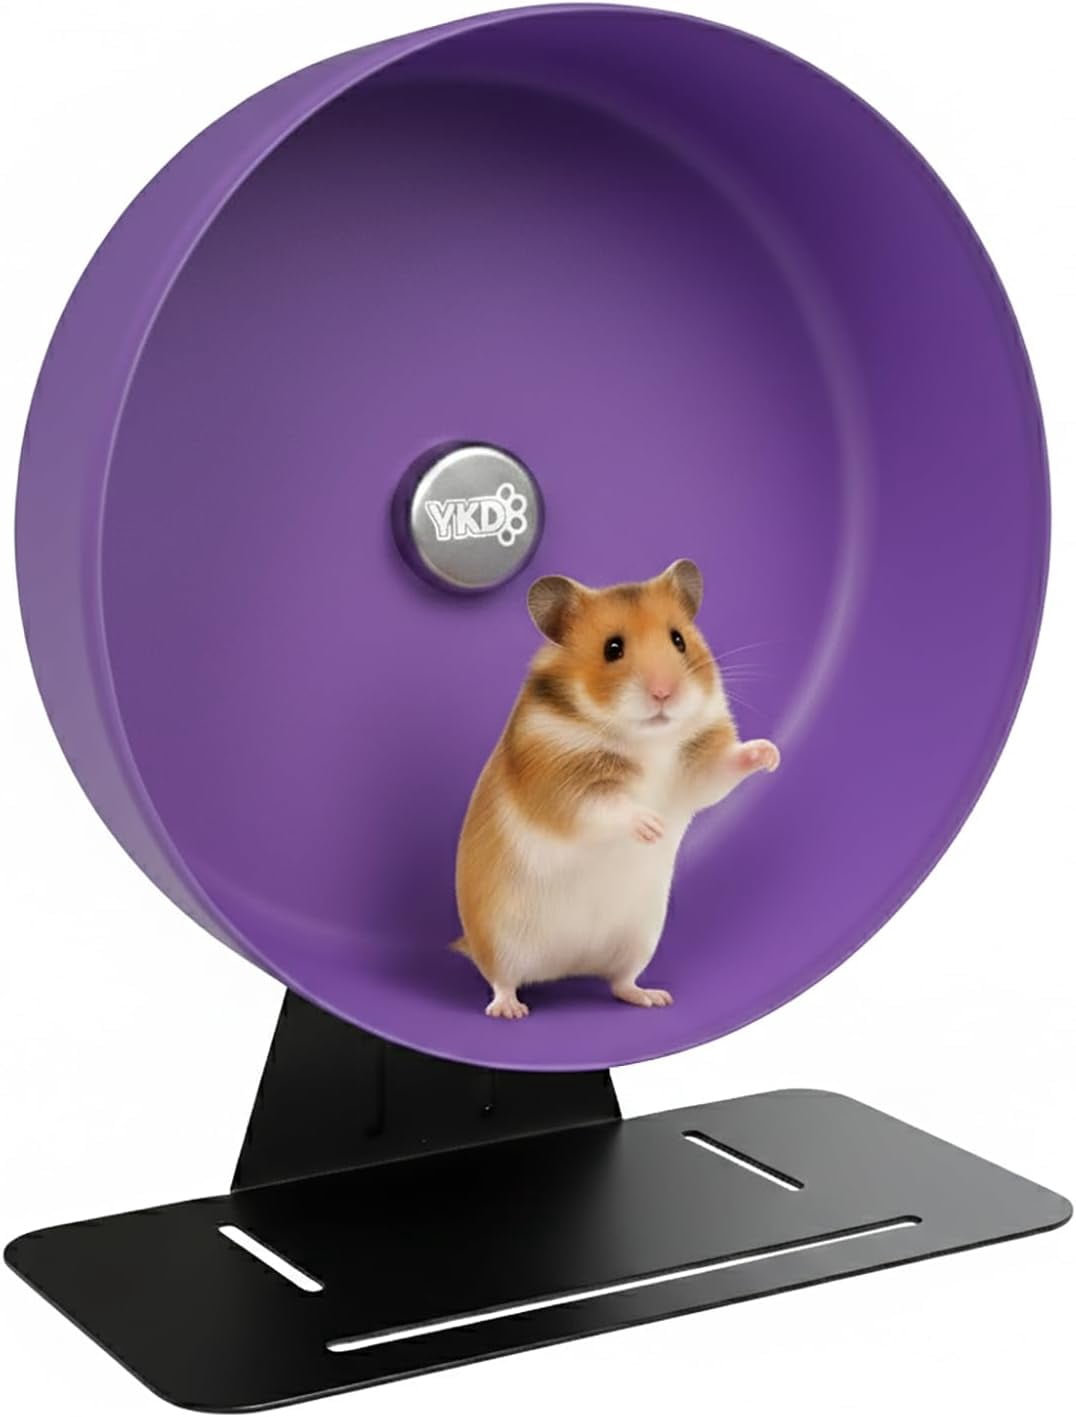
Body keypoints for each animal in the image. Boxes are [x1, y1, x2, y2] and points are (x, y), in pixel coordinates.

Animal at [454, 560, 779, 1019]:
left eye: (678, 639)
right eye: (612, 648)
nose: (664, 693)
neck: (646, 738)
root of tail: (566, 966)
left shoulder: (696, 769)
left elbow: (723, 769)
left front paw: (770, 754)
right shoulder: (562, 783)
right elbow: (606, 806)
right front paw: (652, 827)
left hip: (639, 940)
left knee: (620, 983)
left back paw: (654, 997)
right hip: (498, 941)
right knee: (502, 981)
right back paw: (510, 1010)